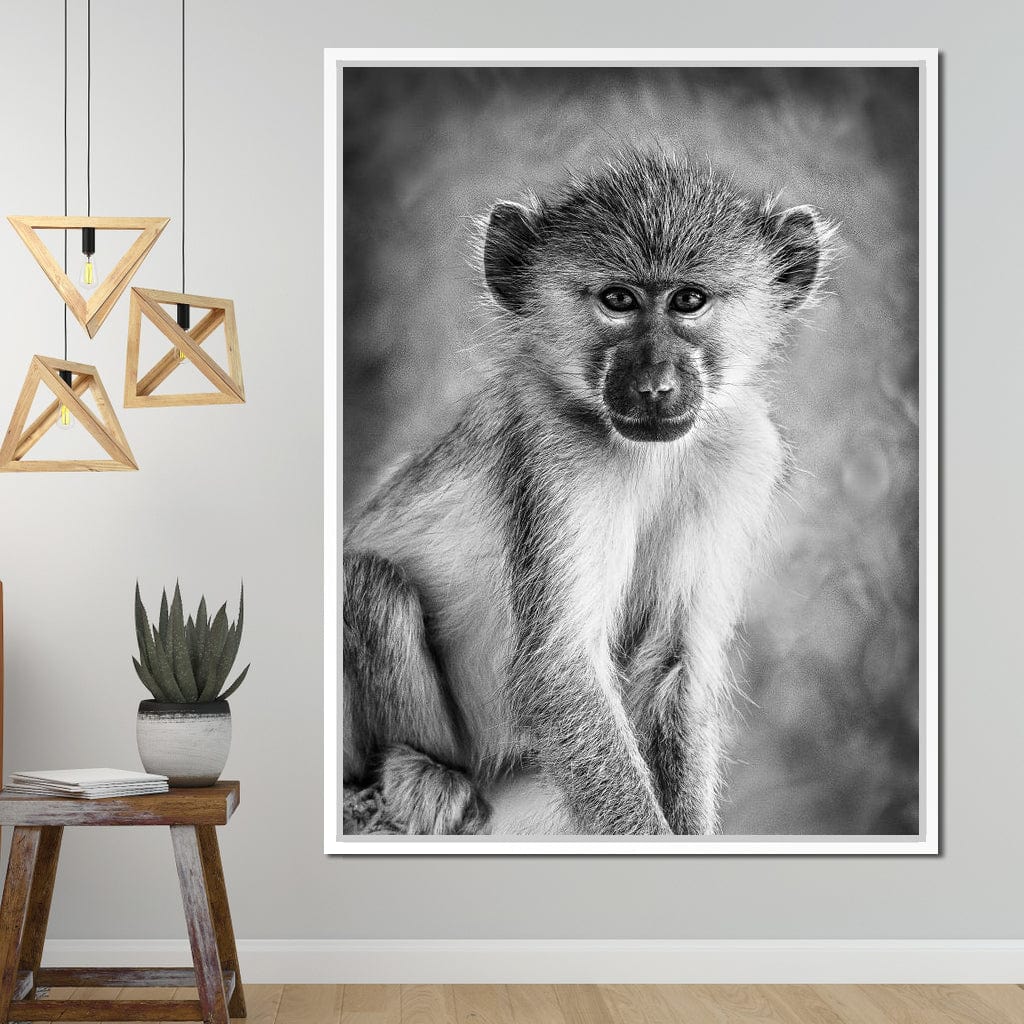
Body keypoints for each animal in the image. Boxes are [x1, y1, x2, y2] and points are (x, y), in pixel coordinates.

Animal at [342, 150, 834, 836]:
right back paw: (418, 769)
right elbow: (561, 670)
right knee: (369, 585)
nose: (655, 386)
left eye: (689, 300)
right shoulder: (559, 452)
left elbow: (677, 663)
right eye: (617, 300)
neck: (652, 457)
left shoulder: (743, 453)